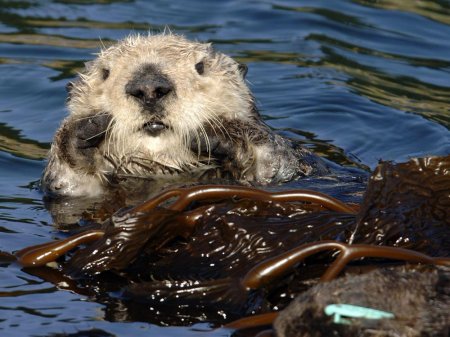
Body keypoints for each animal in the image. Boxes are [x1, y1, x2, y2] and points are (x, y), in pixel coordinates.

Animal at [41, 32, 324, 196]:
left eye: (200, 67)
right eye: (105, 72)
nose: (149, 88)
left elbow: (275, 164)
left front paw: (220, 133)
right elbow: (65, 184)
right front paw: (81, 132)